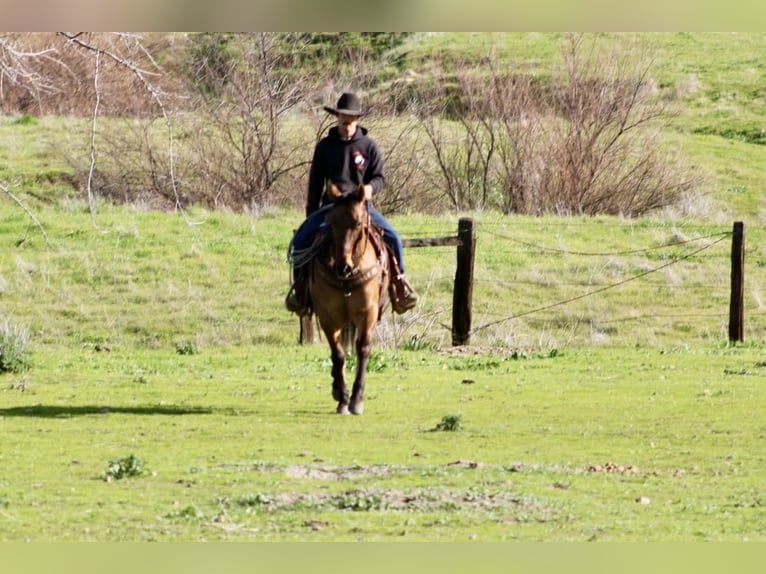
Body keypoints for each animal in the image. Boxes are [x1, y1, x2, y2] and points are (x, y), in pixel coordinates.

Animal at [308, 183, 390, 415]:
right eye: (331, 222)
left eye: (357, 223)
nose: (342, 266)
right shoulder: (328, 317)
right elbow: (338, 354)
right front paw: (343, 397)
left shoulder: (368, 313)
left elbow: (362, 349)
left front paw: (357, 399)